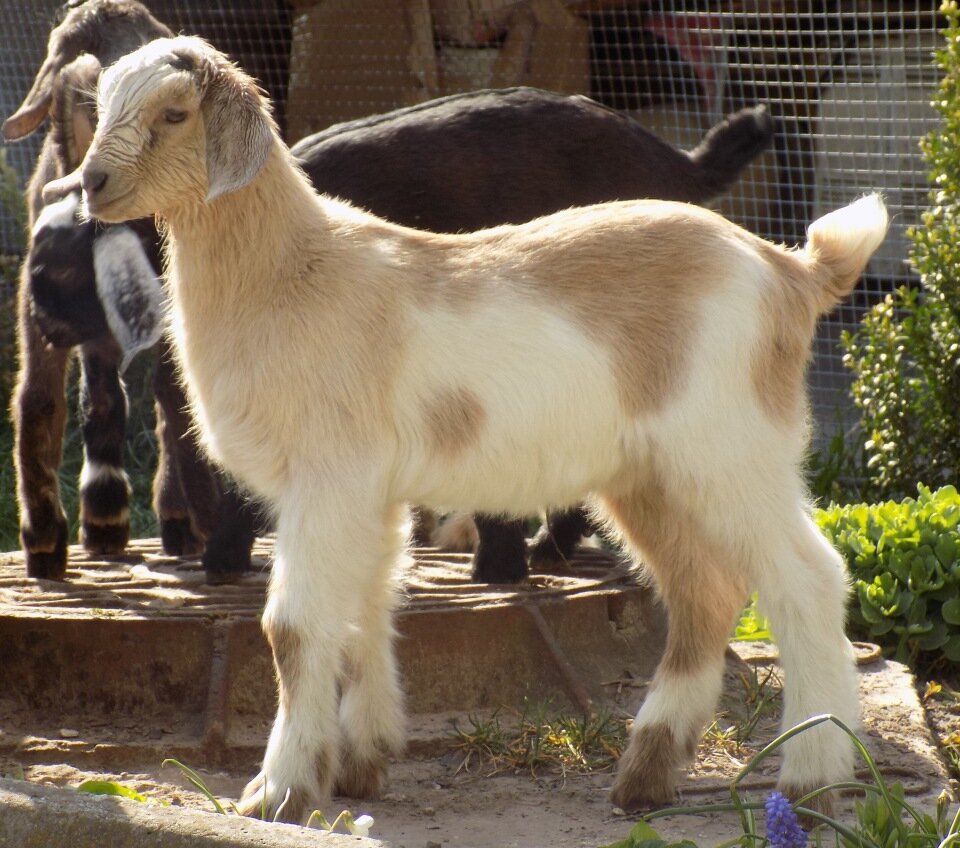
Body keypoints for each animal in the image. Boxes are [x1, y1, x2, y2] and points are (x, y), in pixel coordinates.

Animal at [71, 38, 888, 820]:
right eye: (103, 104)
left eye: (175, 113)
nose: (92, 184)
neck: (293, 269)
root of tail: (790, 272)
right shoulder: (371, 491)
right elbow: (366, 610)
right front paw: (362, 763)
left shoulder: (328, 477)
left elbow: (295, 630)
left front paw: (278, 793)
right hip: (650, 479)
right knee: (706, 592)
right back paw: (645, 778)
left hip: (733, 451)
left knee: (808, 581)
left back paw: (810, 783)